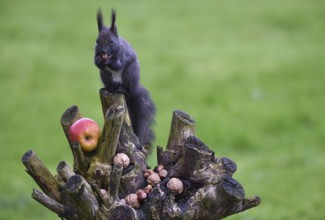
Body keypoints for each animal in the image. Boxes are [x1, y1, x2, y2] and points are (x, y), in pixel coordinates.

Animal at [93, 9, 156, 146]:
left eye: (111, 41)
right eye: (97, 41)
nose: (103, 52)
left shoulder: (124, 55)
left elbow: (119, 64)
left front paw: (110, 62)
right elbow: (95, 62)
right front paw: (99, 60)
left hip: (130, 74)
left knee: (127, 88)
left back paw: (121, 89)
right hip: (104, 75)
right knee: (108, 82)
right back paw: (108, 87)